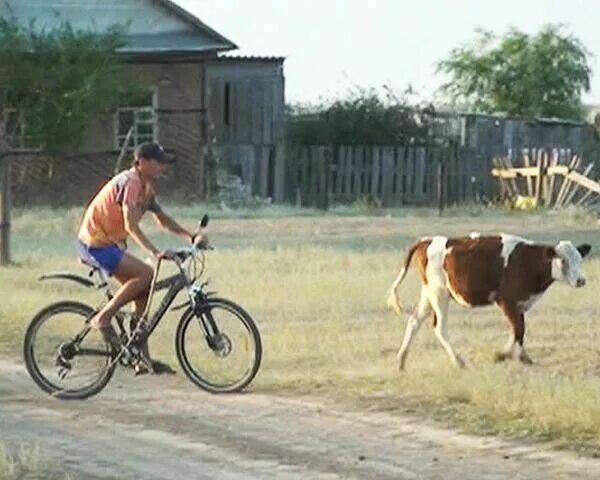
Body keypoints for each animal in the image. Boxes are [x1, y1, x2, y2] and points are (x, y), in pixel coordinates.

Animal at [384, 234, 592, 370]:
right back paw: (458, 361)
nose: (581, 280)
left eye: (580, 259)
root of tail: (427, 241)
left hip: (428, 293)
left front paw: (522, 356)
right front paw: (503, 355)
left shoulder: (519, 305)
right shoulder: (506, 300)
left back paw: (401, 360)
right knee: (439, 327)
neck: (527, 262)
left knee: (414, 321)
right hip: (439, 293)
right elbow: (518, 329)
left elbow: (518, 330)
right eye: (563, 261)